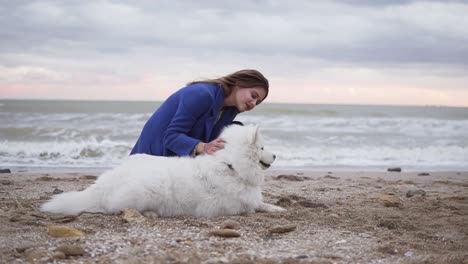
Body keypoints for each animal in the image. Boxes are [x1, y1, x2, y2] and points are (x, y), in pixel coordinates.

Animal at [41, 125, 286, 218]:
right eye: (262, 148)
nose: (276, 156)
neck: (231, 166)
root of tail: (101, 186)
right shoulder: (237, 206)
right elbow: (256, 206)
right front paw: (275, 209)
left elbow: (263, 203)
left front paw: (278, 207)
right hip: (149, 189)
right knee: (116, 208)